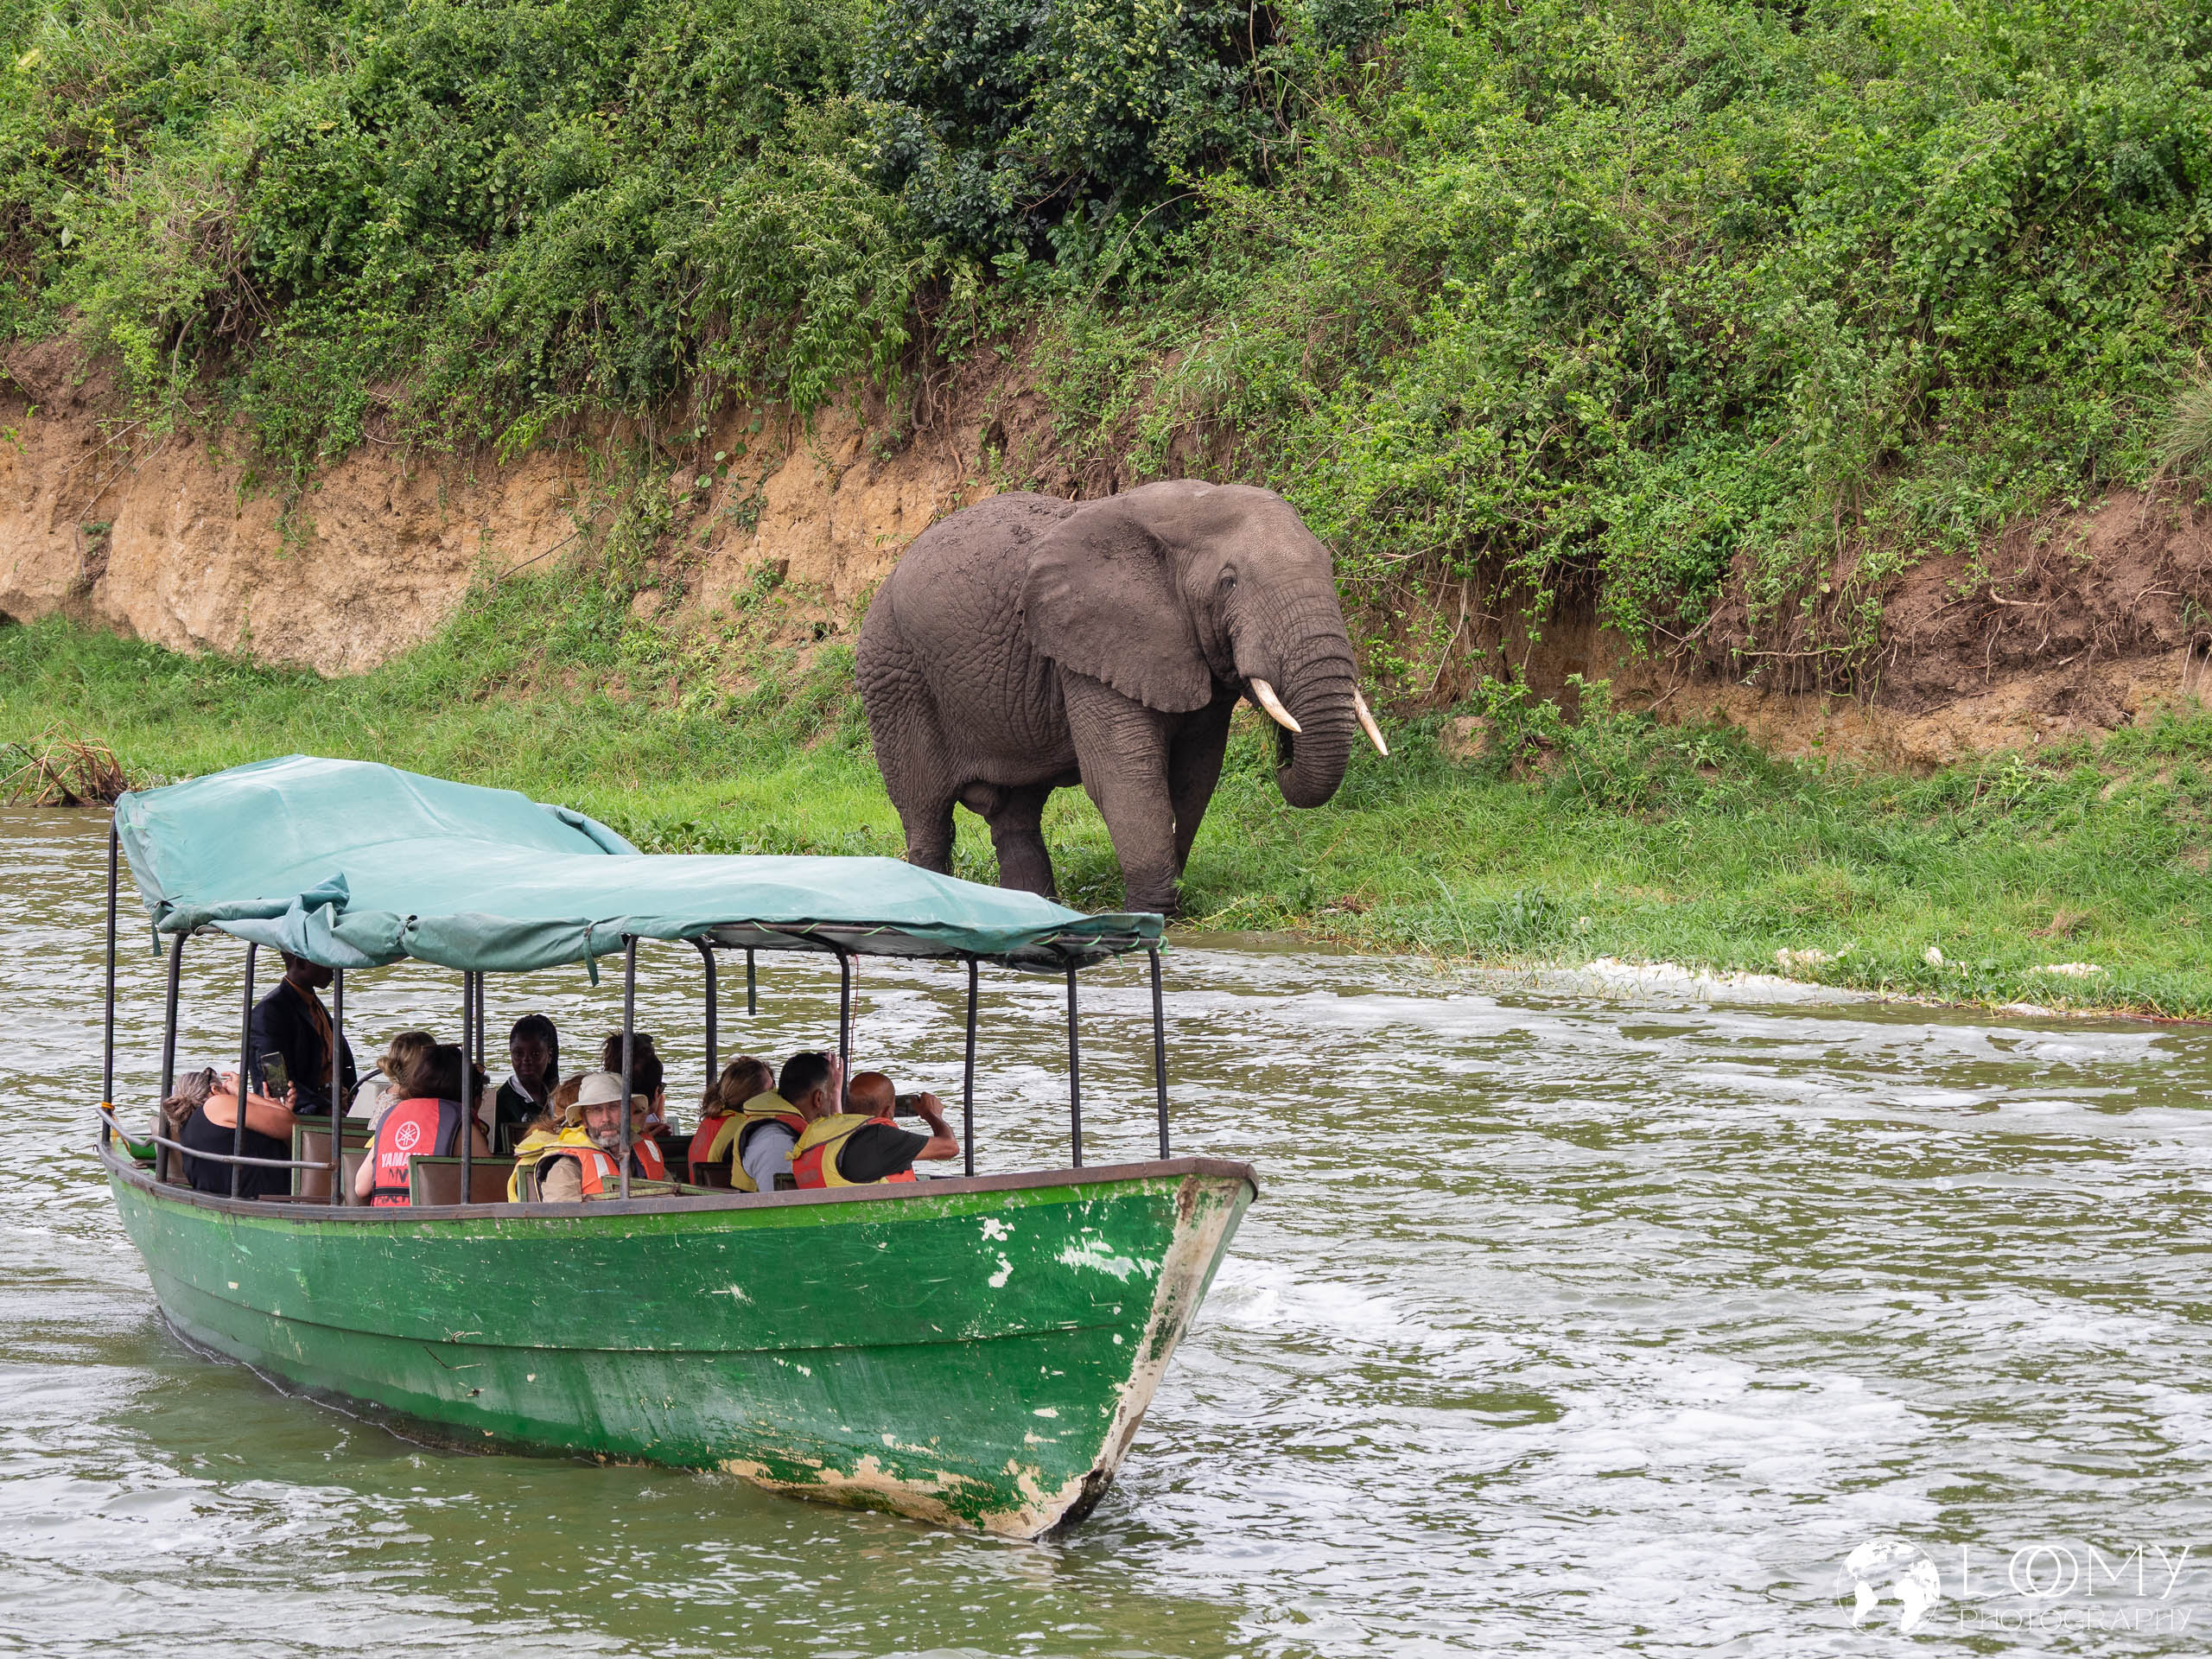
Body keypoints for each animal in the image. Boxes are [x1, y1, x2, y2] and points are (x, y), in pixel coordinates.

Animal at [855, 479, 1389, 916]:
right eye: (1228, 582)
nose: (1284, 749)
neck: (1190, 509)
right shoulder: (1089, 648)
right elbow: (1125, 774)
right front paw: (1151, 914)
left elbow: (1195, 776)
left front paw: (1168, 902)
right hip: (893, 673)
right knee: (926, 811)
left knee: (1017, 813)